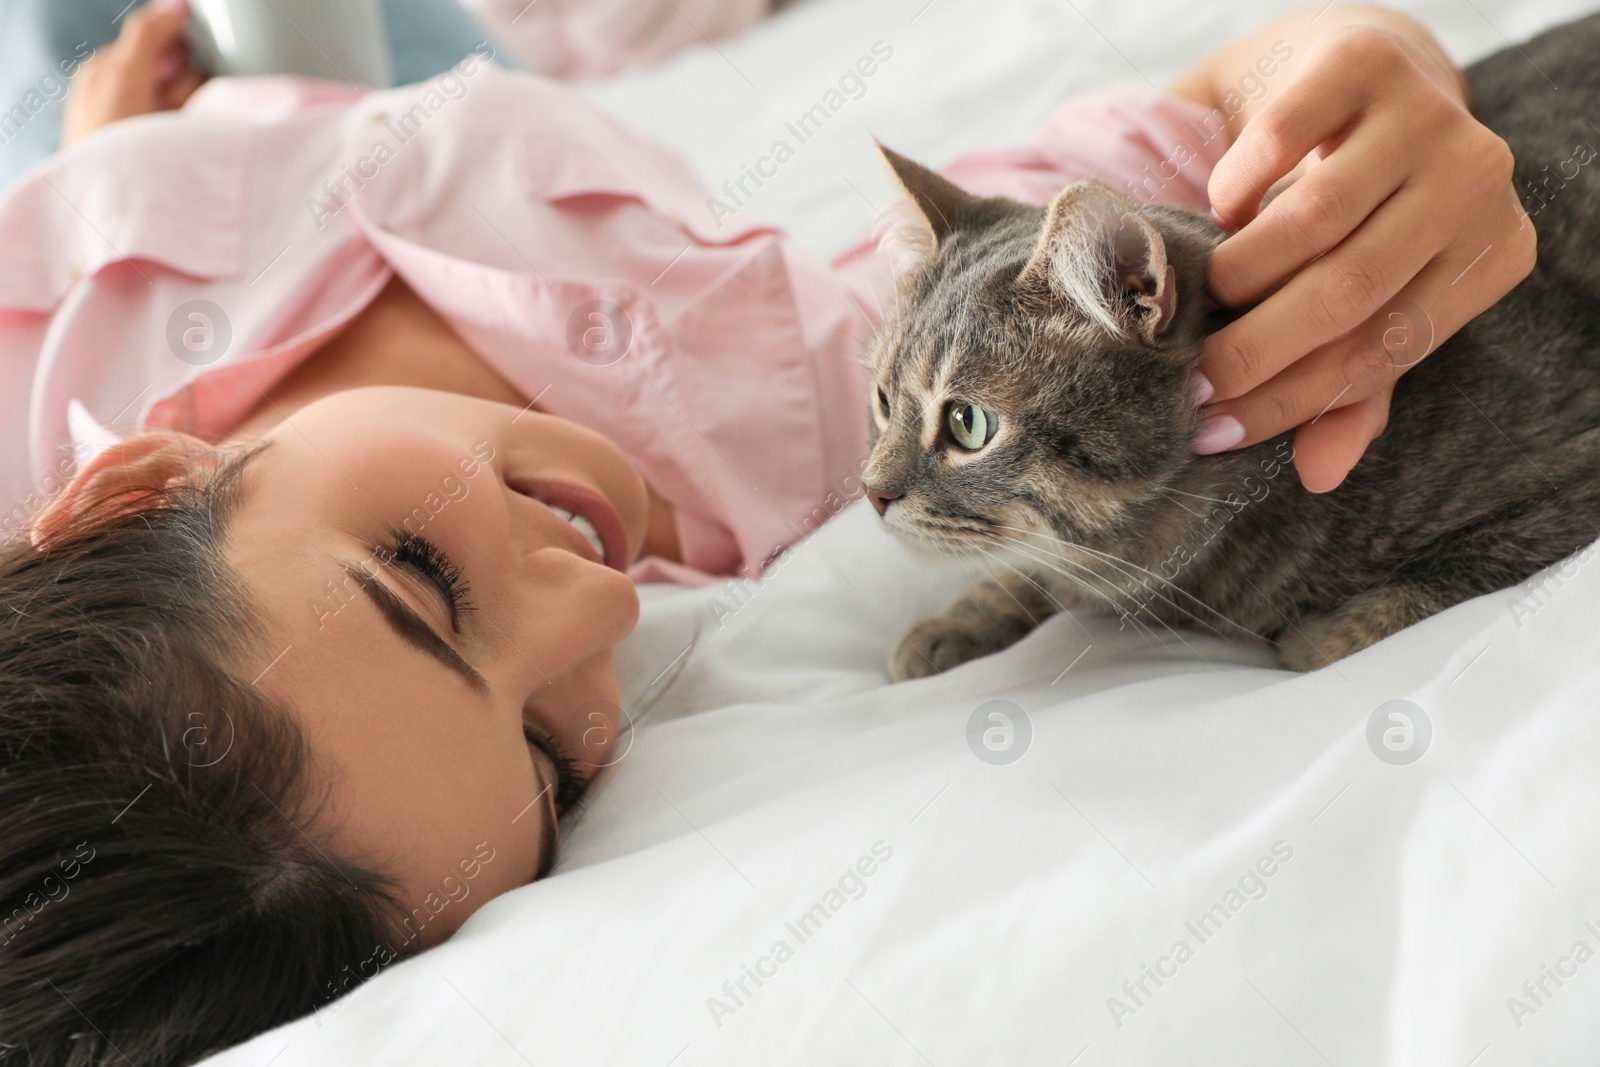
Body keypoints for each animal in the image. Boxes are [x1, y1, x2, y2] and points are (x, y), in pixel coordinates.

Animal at [864, 16, 1600, 681]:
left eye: (968, 424)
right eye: (881, 401)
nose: (870, 491)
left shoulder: (1571, 482)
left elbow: (1452, 571)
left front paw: (1325, 635)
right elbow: (1030, 569)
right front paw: (960, 618)